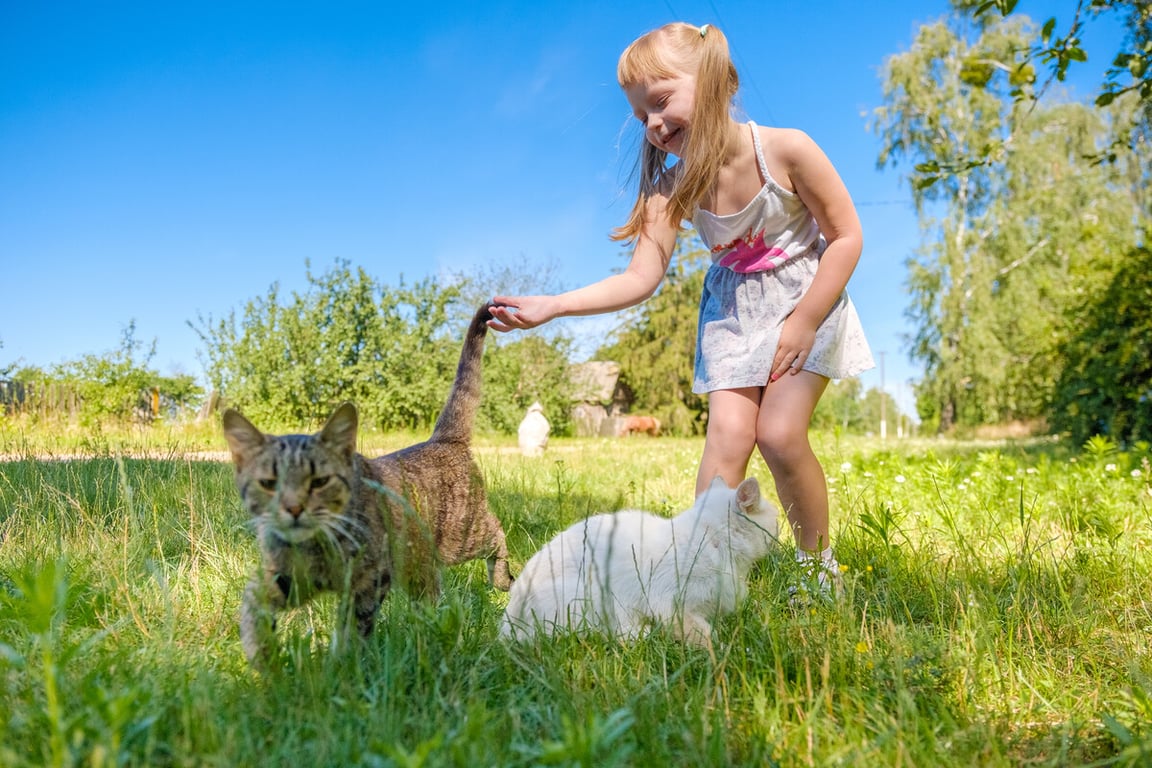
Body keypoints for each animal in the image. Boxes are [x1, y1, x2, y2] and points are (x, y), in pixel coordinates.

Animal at [222, 303, 511, 667]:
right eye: (269, 483)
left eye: (320, 481)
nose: (294, 508)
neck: (315, 547)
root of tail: (441, 439)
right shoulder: (290, 579)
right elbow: (253, 604)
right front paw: (261, 652)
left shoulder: (370, 579)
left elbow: (354, 625)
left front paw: (345, 663)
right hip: (420, 567)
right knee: (432, 595)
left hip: (462, 537)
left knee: (498, 531)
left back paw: (501, 580)